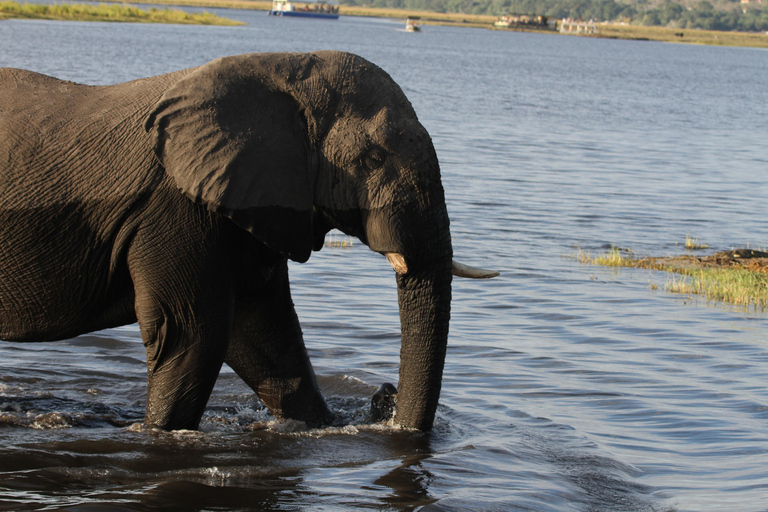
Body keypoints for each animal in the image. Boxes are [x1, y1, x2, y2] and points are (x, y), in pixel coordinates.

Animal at [0, 51, 498, 432]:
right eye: (373, 158)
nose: (384, 394)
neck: (283, 70)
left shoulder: (255, 204)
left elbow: (267, 337)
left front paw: (325, 426)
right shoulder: (176, 209)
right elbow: (193, 334)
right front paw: (156, 434)